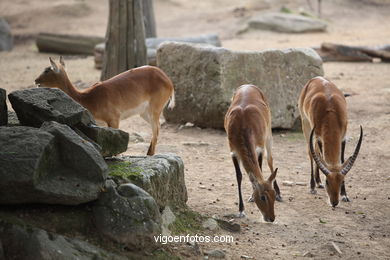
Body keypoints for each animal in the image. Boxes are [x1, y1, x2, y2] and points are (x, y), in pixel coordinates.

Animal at [35, 56, 175, 156]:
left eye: (47, 70)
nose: (36, 80)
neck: (87, 97)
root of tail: (168, 80)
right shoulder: (100, 124)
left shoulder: (114, 119)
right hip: (144, 113)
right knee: (157, 129)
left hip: (154, 111)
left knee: (156, 130)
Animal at [224, 84, 282, 222]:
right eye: (263, 197)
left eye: (272, 194)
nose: (271, 218)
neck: (243, 123)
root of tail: (248, 85)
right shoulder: (233, 151)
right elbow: (239, 176)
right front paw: (241, 210)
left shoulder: (259, 147)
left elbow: (259, 169)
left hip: (269, 134)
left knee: (270, 160)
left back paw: (280, 194)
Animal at [298, 75, 362, 207]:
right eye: (327, 181)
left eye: (341, 180)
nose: (334, 202)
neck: (331, 111)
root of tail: (315, 78)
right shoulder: (318, 136)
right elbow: (319, 157)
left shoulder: (343, 137)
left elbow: (341, 160)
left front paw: (344, 195)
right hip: (305, 125)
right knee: (311, 153)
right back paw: (313, 186)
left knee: (315, 151)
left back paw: (318, 182)